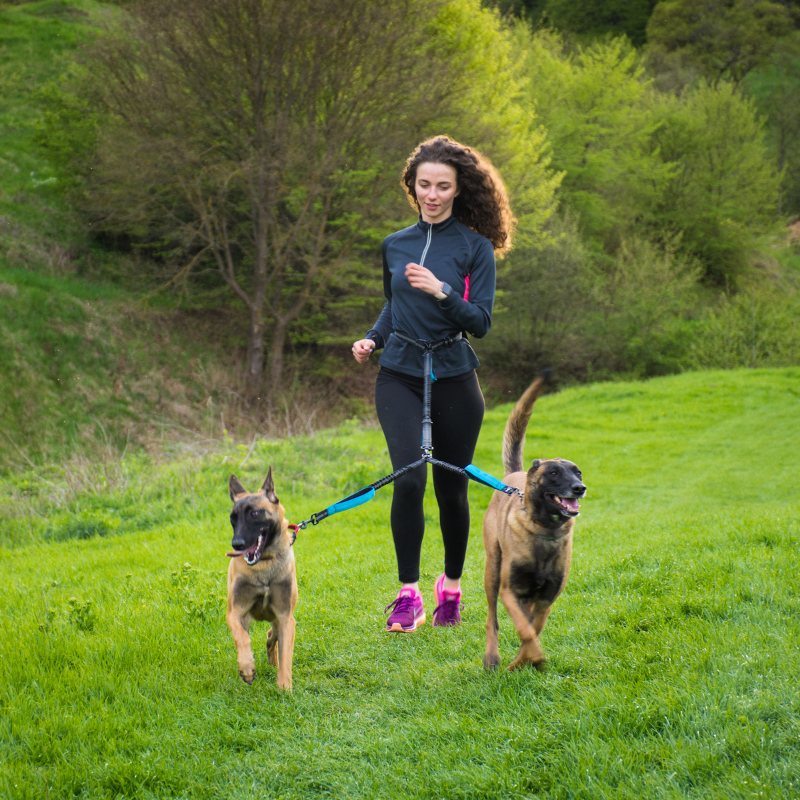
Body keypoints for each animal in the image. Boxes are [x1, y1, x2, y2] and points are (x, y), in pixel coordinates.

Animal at [227, 472, 298, 692]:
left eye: (254, 513)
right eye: (233, 518)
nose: (237, 544)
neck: (264, 564)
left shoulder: (285, 618)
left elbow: (286, 655)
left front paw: (284, 687)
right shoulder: (235, 612)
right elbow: (242, 638)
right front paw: (247, 667)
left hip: (277, 622)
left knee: (271, 636)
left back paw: (272, 662)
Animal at [482, 374, 588, 668]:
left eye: (577, 472)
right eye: (553, 473)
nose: (579, 488)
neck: (545, 531)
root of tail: (514, 475)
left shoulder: (546, 598)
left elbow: (533, 629)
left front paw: (526, 662)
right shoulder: (510, 590)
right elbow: (524, 629)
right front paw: (528, 660)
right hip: (492, 570)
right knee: (492, 619)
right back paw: (491, 658)